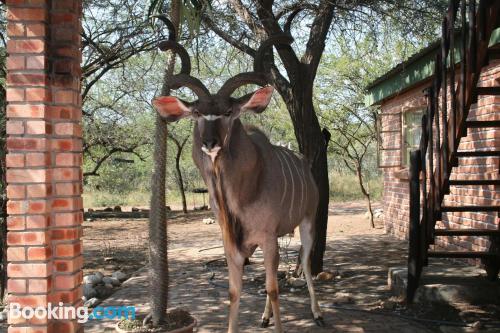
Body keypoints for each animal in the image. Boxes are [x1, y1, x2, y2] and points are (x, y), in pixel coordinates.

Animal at [153, 19, 324, 330]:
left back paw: (317, 313)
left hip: (307, 222)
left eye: (229, 112)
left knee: (304, 265)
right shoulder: (233, 242)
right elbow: (235, 291)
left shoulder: (267, 237)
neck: (243, 192)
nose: (210, 142)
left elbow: (273, 288)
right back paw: (265, 317)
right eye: (196, 113)